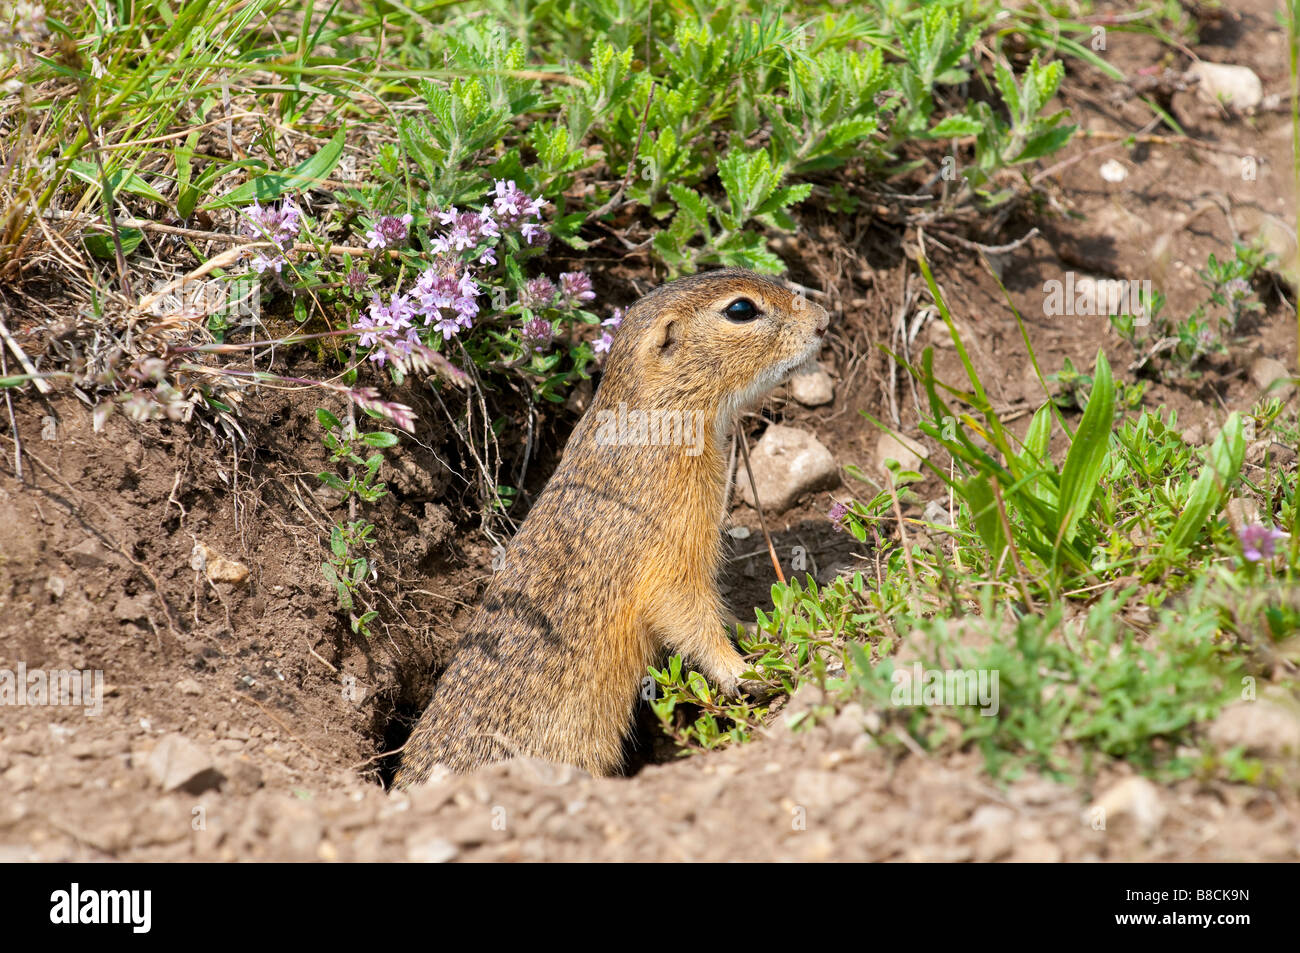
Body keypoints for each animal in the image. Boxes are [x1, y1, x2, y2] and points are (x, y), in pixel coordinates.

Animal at [395, 269, 829, 786]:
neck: (657, 420)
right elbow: (688, 616)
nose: (824, 320)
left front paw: (757, 629)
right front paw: (745, 673)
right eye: (740, 309)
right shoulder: (668, 555)